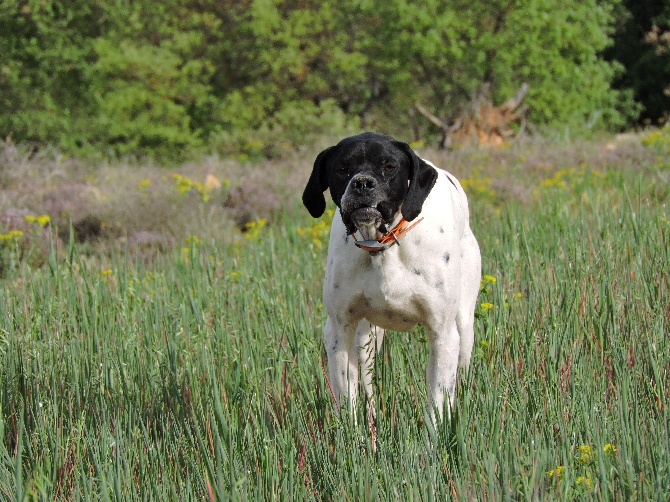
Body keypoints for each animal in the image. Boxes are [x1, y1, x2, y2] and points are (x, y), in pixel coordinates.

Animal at [304, 131, 484, 422]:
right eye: (342, 169)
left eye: (389, 167)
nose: (362, 183)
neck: (382, 247)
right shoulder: (339, 330)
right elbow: (347, 400)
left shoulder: (443, 333)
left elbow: (438, 404)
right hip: (366, 338)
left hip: (464, 324)